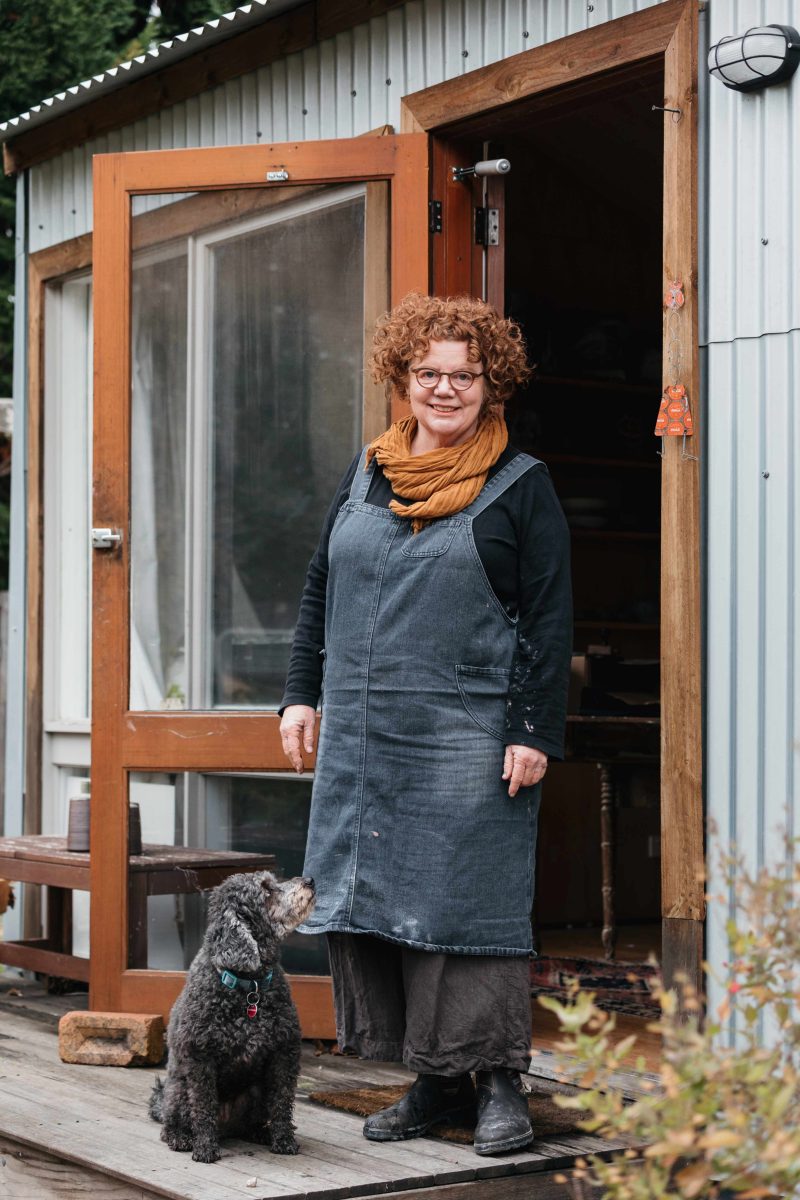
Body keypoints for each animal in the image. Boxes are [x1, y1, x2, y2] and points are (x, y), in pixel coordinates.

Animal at [148, 873, 314, 1161]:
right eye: (267, 890)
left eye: (272, 881)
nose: (310, 880)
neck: (250, 987)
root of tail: (228, 1127)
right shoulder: (200, 1058)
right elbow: (203, 1106)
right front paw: (205, 1147)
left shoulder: (284, 1053)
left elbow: (283, 1102)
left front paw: (284, 1140)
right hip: (178, 1090)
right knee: (172, 1122)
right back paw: (181, 1137)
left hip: (258, 1091)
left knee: (255, 1119)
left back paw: (260, 1132)